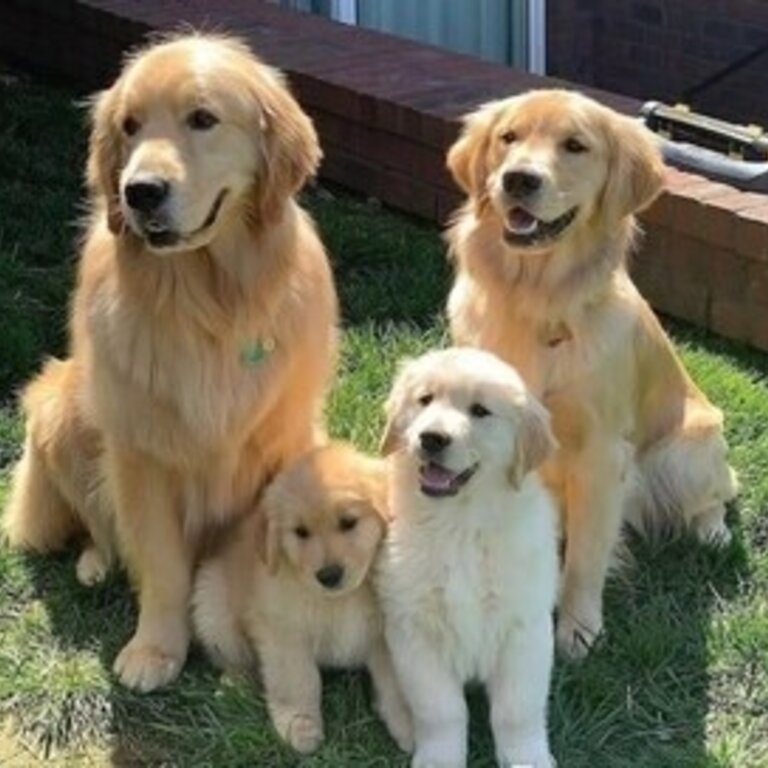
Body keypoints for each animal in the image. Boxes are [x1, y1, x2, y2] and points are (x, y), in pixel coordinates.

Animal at [3, 34, 340, 688]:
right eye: (129, 127)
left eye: (202, 119)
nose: (139, 192)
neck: (207, 303)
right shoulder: (141, 456)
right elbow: (158, 565)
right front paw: (156, 650)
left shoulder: (274, 452)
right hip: (58, 410)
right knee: (98, 528)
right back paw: (94, 565)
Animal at [192, 444, 414, 756]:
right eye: (300, 532)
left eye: (348, 522)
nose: (329, 575)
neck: (341, 599)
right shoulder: (284, 633)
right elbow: (298, 681)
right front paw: (299, 724)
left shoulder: (387, 634)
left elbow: (397, 682)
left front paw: (410, 723)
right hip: (211, 605)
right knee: (231, 655)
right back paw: (235, 684)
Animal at [378, 350, 560, 768]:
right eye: (425, 400)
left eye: (480, 411)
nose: (431, 438)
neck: (460, 525)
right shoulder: (413, 631)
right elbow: (441, 711)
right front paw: (439, 759)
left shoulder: (524, 629)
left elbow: (516, 711)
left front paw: (527, 758)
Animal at [444, 88, 736, 656]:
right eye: (508, 138)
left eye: (575, 146)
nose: (518, 179)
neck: (536, 300)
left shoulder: (600, 454)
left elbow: (585, 555)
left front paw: (578, 627)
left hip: (689, 445)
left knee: (718, 491)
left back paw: (713, 531)